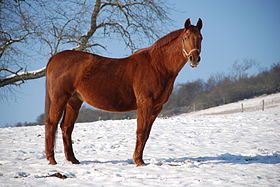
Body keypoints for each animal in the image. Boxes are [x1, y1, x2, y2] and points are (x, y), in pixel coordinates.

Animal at [46, 18, 203, 166]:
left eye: (200, 38)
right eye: (186, 38)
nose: (194, 59)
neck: (157, 65)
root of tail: (54, 58)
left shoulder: (157, 107)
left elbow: (146, 134)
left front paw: (140, 160)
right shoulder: (145, 104)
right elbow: (141, 131)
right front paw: (138, 161)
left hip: (74, 101)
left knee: (66, 127)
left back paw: (73, 160)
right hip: (60, 98)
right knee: (51, 123)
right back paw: (52, 160)